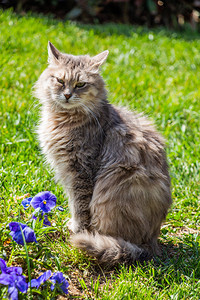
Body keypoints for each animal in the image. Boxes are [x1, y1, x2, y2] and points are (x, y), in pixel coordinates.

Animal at [34, 41, 172, 264]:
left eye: (80, 84)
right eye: (60, 81)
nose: (67, 95)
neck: (65, 119)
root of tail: (150, 244)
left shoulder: (80, 171)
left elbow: (80, 207)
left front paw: (78, 231)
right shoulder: (68, 174)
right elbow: (73, 203)